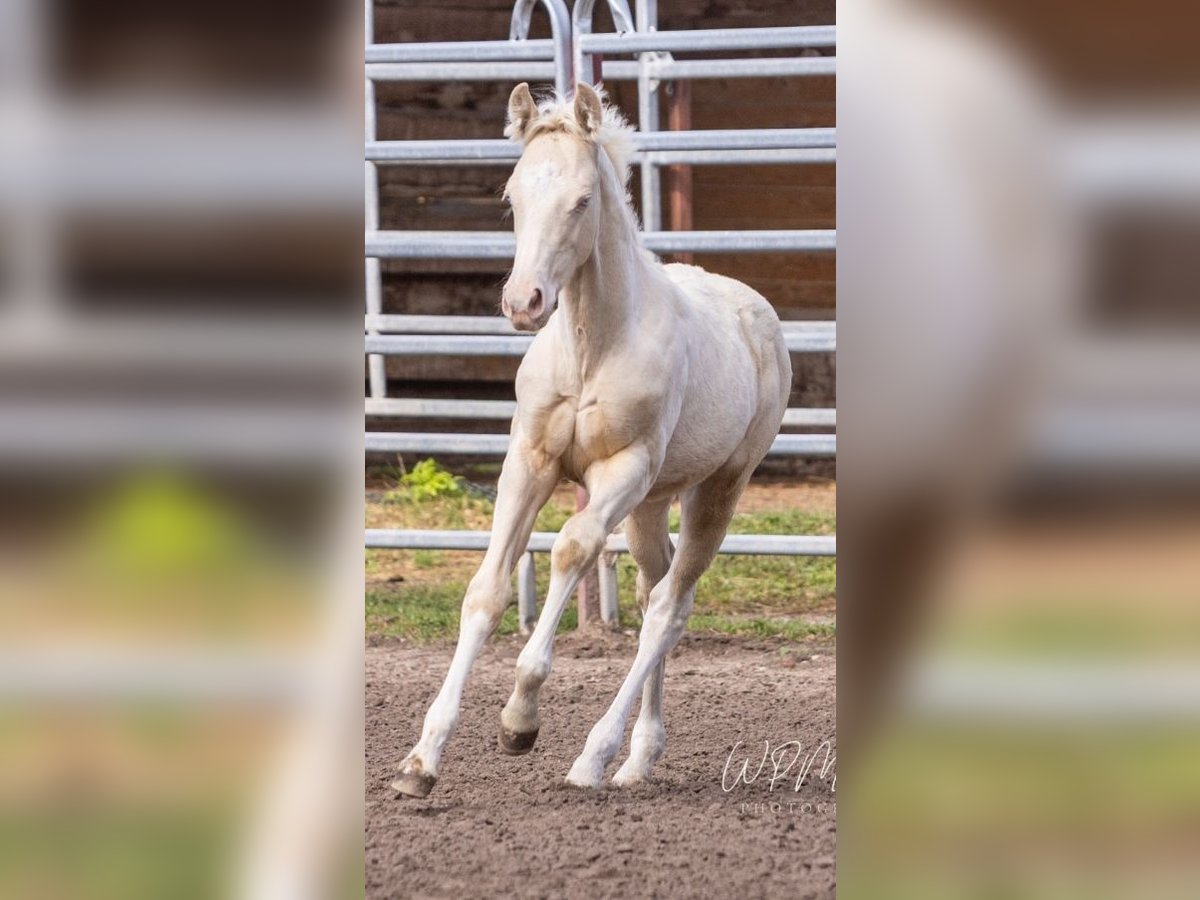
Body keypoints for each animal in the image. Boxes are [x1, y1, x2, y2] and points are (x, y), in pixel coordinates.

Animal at [393, 82, 792, 798]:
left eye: (581, 200)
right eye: (511, 196)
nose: (523, 302)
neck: (592, 344)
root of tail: (759, 315)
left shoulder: (622, 469)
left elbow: (571, 550)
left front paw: (520, 720)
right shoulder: (530, 460)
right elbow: (487, 589)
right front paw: (421, 761)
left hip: (717, 488)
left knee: (668, 608)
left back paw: (594, 758)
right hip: (652, 505)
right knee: (654, 590)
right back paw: (637, 760)